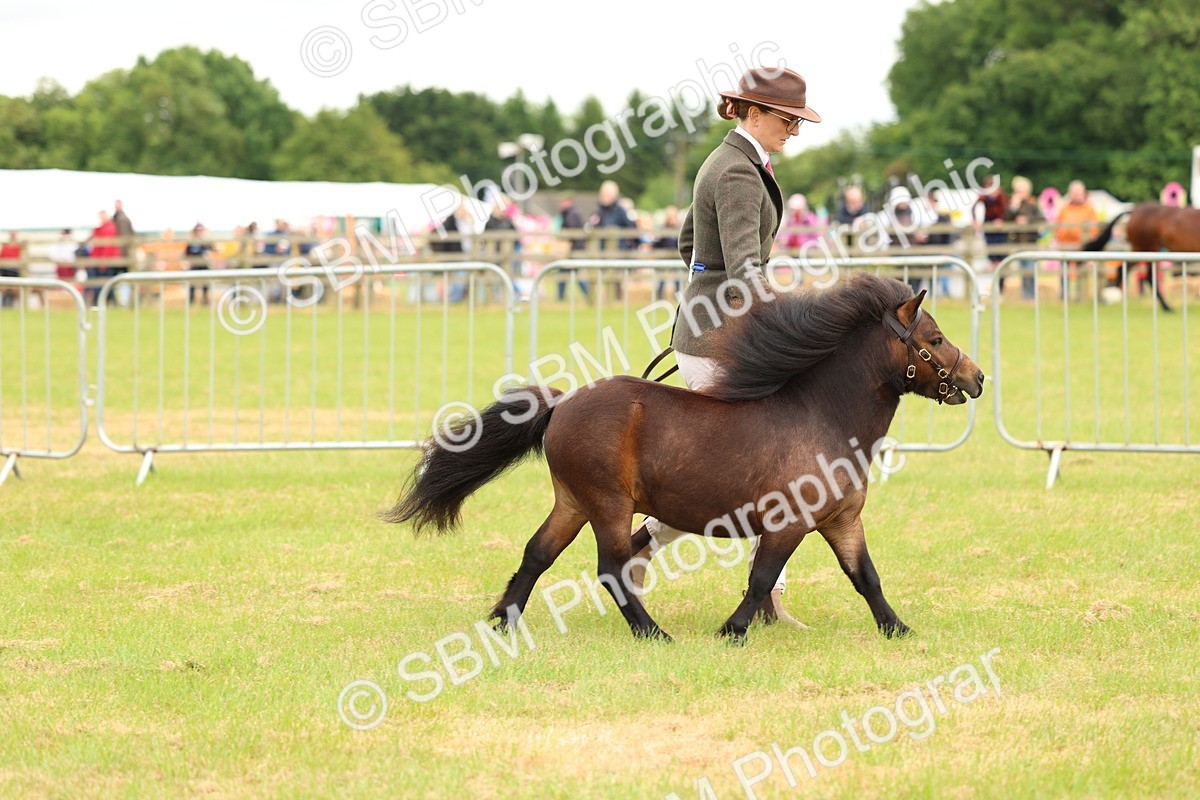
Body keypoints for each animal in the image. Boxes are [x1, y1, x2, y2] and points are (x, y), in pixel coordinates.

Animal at [383, 272, 985, 642]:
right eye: (934, 337)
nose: (977, 377)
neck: (825, 417)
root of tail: (562, 403)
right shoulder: (788, 523)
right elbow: (762, 578)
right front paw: (732, 631)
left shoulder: (842, 521)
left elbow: (866, 577)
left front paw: (899, 630)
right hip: (607, 503)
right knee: (611, 568)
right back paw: (653, 633)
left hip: (573, 502)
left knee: (537, 554)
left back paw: (505, 622)